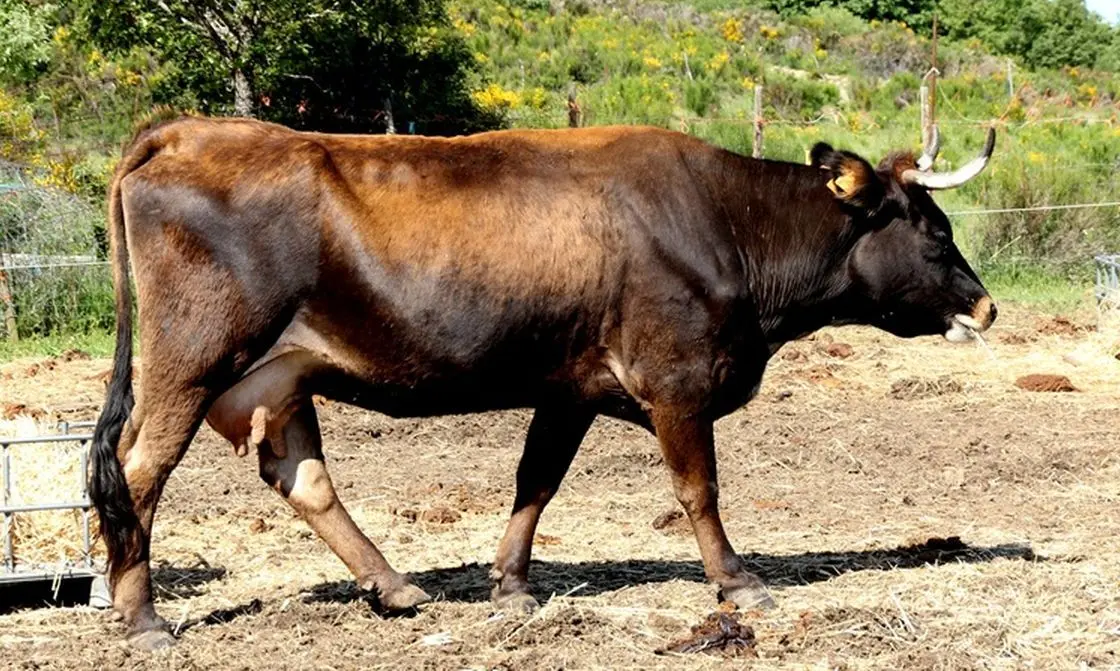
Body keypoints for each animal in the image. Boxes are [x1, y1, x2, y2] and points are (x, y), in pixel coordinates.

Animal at [89, 116, 997, 649]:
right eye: (933, 229)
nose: (986, 306)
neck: (726, 223)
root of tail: (186, 131)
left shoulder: (569, 388)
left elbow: (537, 481)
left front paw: (512, 585)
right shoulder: (678, 381)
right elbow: (698, 489)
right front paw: (738, 581)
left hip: (279, 374)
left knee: (301, 477)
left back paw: (395, 587)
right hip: (192, 361)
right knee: (138, 472)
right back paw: (141, 616)